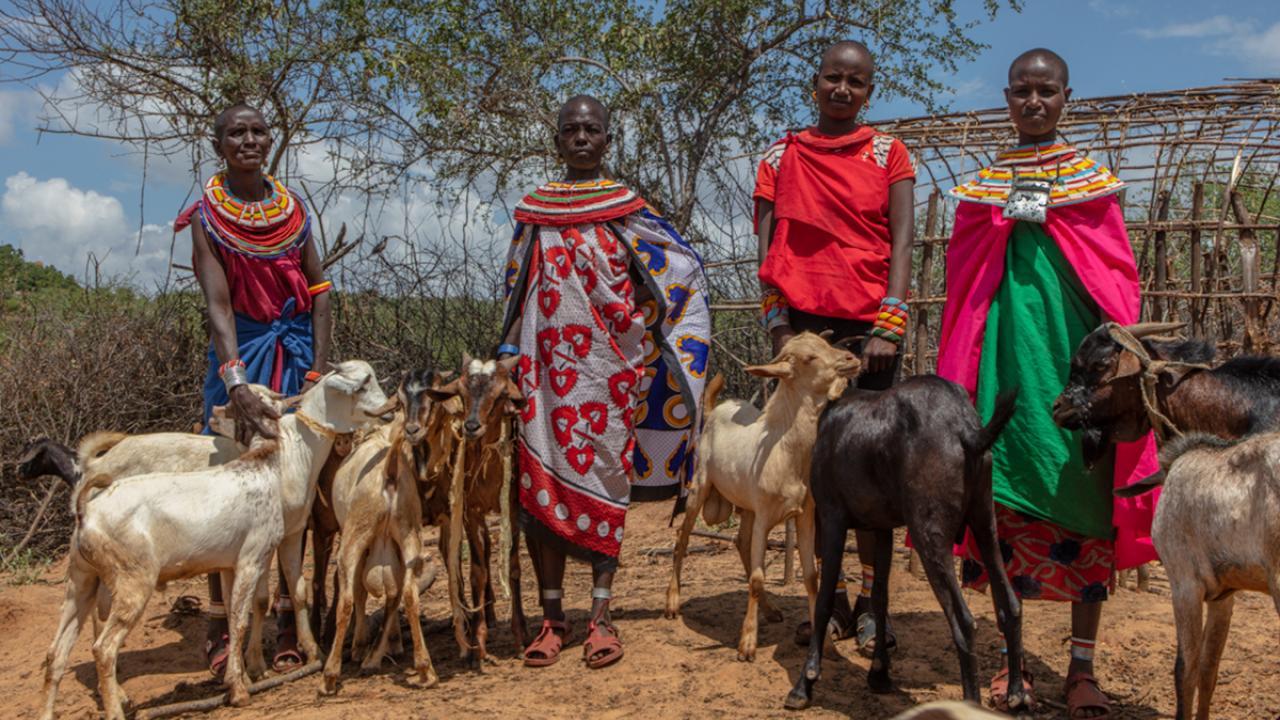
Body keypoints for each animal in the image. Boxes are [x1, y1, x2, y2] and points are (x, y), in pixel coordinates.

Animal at [41, 361, 389, 717]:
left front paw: (297, 656)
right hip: (131, 580)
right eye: (362, 385)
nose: (388, 409)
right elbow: (245, 612)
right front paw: (245, 679)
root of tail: (87, 508)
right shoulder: (255, 552)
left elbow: (291, 592)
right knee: (103, 644)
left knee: (58, 651)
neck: (285, 458)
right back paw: (117, 702)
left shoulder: (277, 540)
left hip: (82, 579)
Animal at [660, 333, 860, 661]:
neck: (786, 452)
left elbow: (811, 577)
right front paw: (747, 645)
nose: (851, 359)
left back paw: (770, 609)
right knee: (682, 539)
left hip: (748, 506)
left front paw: (827, 646)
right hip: (700, 486)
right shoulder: (766, 514)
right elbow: (756, 578)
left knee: (740, 541)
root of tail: (715, 410)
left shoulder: (805, 514)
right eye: (809, 358)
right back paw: (672, 603)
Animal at [783, 376, 1024, 707]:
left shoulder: (832, 518)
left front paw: (803, 684)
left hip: (928, 533)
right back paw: (1016, 694)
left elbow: (823, 600)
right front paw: (879, 674)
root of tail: (964, 426)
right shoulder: (882, 529)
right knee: (1010, 605)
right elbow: (880, 598)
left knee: (963, 621)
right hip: (985, 521)